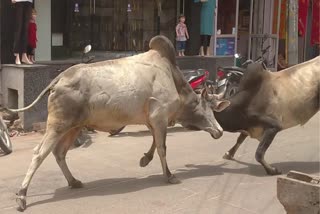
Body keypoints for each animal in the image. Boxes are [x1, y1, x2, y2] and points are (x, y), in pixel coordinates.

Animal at [11, 35, 229, 211]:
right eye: (209, 108)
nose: (219, 131)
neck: (173, 79)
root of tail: (59, 78)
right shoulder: (160, 116)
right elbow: (162, 147)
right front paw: (169, 176)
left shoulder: (151, 119)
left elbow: (153, 143)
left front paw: (144, 159)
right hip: (58, 125)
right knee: (39, 153)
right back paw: (22, 196)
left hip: (73, 127)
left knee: (59, 153)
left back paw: (73, 181)